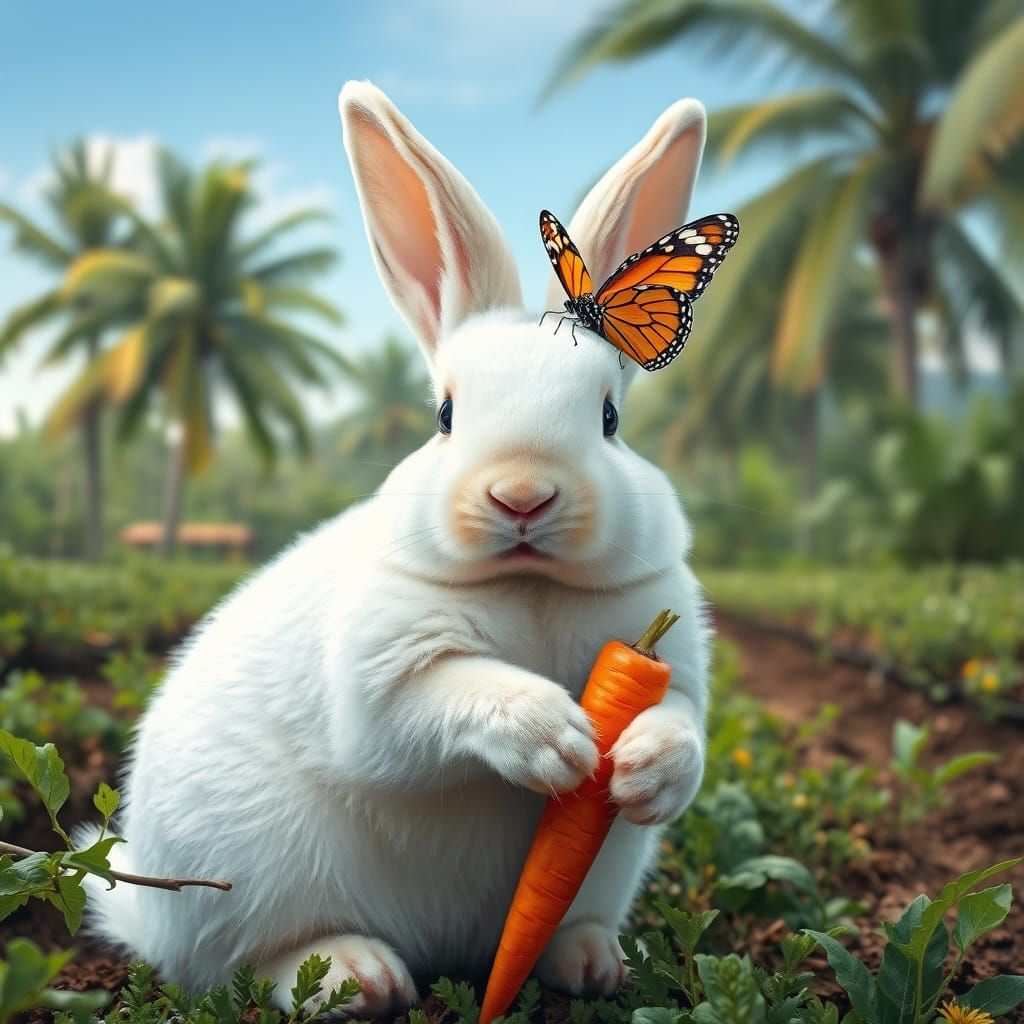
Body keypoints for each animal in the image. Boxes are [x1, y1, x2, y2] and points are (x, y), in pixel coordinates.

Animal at [82, 81, 713, 1017]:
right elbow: (445, 701)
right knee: (244, 963)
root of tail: (145, 919)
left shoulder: (675, 667)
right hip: (250, 880)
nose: (522, 495)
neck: (527, 584)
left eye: (609, 418)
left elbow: (685, 729)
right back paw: (359, 974)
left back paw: (594, 961)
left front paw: (639, 767)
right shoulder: (382, 682)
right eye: (445, 413)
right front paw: (559, 740)